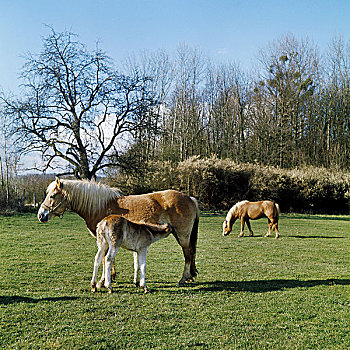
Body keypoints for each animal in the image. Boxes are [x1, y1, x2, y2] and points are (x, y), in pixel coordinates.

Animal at [37, 178, 200, 284]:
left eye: (52, 196)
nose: (41, 215)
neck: (100, 206)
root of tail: (190, 198)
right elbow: (107, 258)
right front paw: (111, 276)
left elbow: (104, 259)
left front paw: (104, 280)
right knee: (191, 253)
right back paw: (190, 276)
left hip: (182, 235)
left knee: (187, 253)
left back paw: (183, 278)